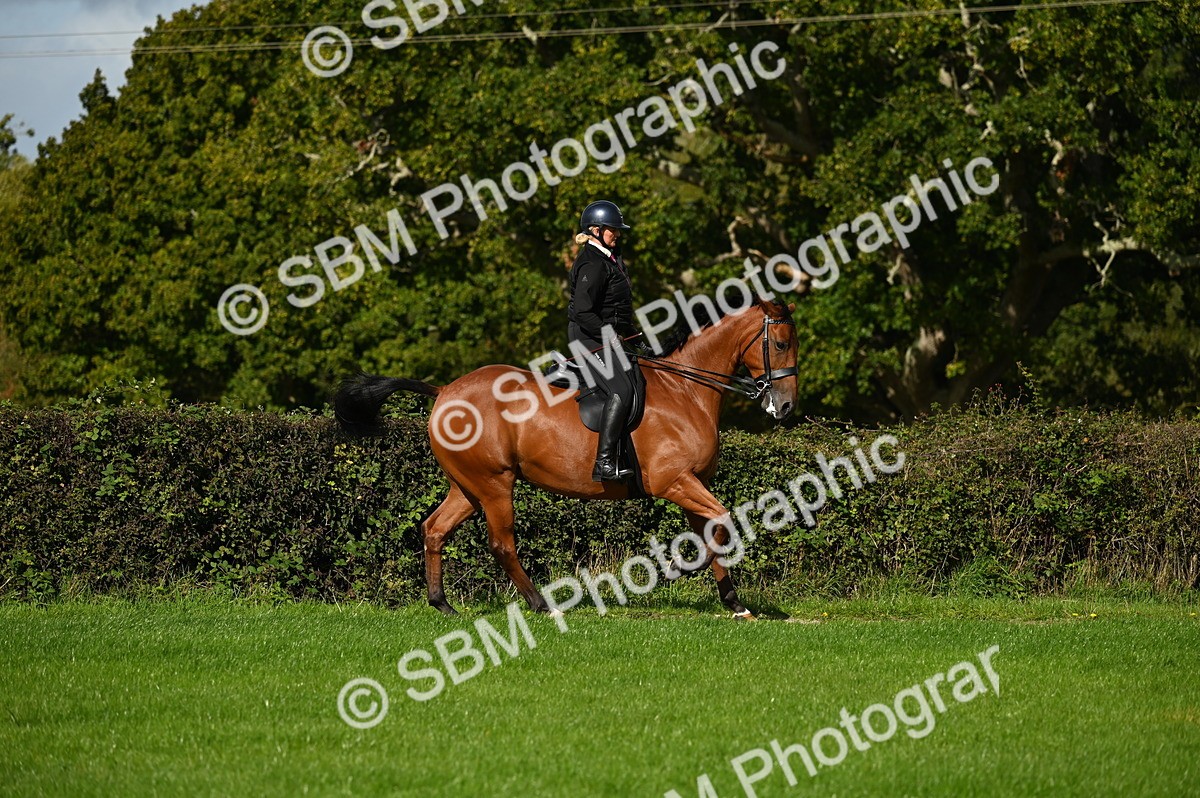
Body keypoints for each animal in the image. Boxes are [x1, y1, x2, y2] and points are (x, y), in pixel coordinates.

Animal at [334, 298, 798, 619]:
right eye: (779, 344)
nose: (786, 407)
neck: (686, 390)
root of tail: (445, 391)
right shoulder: (676, 481)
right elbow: (721, 522)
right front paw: (688, 572)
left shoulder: (693, 483)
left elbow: (713, 531)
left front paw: (734, 602)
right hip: (495, 484)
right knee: (502, 544)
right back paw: (541, 605)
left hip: (467, 487)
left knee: (434, 530)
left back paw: (442, 604)